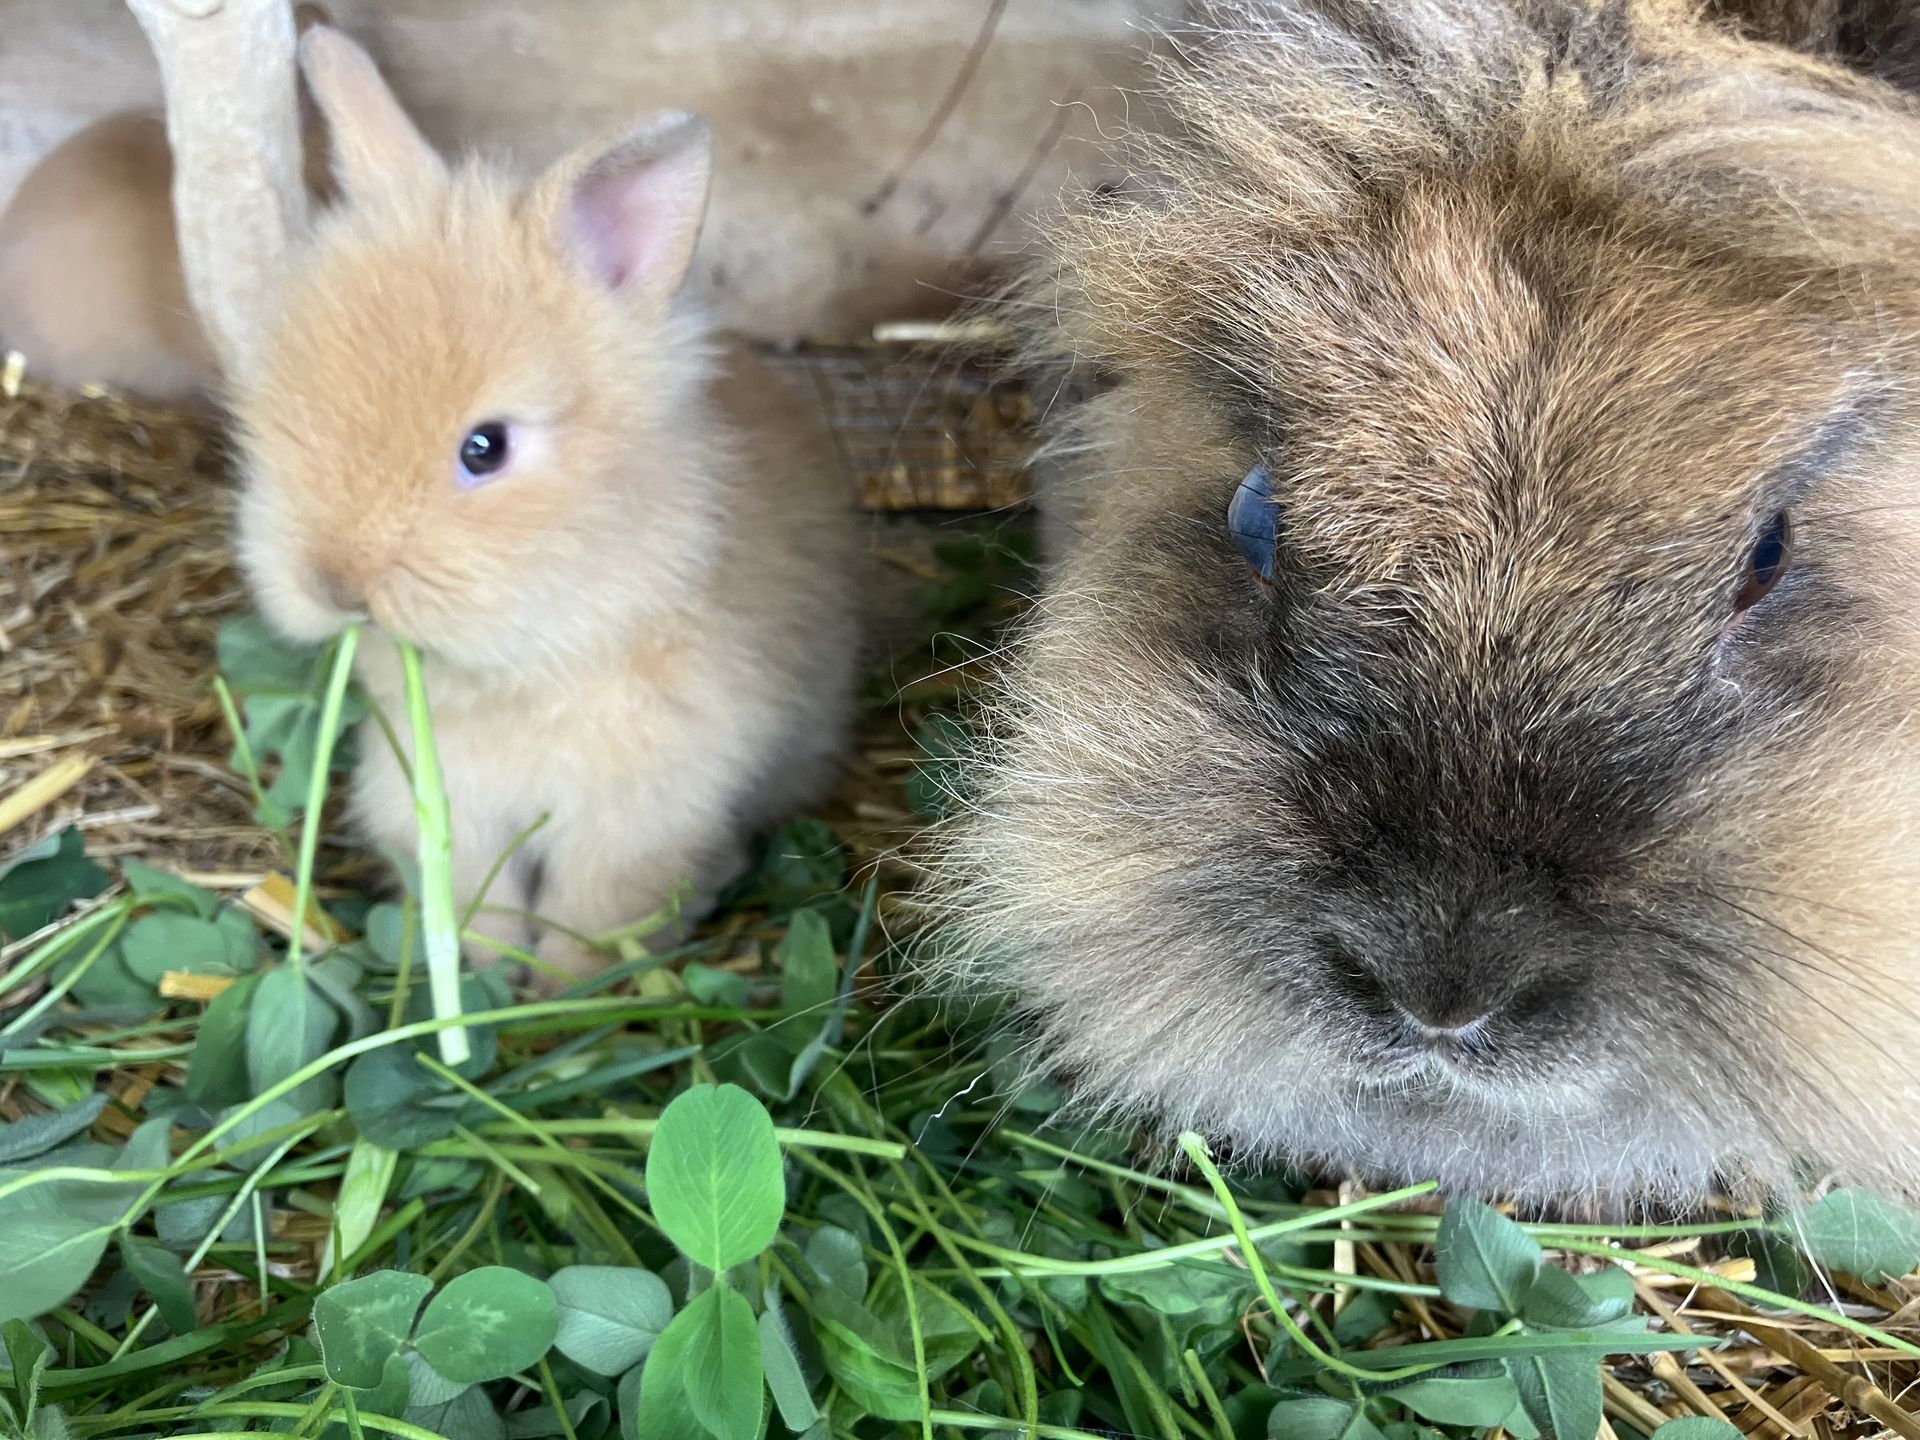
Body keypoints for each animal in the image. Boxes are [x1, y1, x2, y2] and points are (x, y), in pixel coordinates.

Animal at [232, 27, 861, 983]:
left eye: (485, 448)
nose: (336, 582)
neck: (524, 666)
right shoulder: (448, 805)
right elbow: (481, 907)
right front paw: (485, 983)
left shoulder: (637, 820)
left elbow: (591, 921)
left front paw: (562, 991)